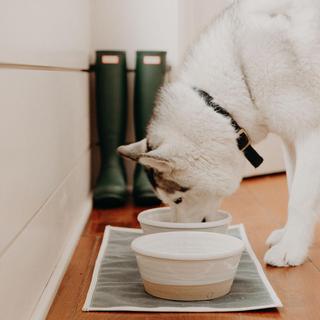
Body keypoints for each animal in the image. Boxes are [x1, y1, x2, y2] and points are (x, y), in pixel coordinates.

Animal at [119, 0, 320, 266]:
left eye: (178, 199)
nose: (181, 234)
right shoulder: (290, 139)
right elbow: (292, 186)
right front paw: (287, 235)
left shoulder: (311, 133)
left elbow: (299, 198)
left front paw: (291, 249)